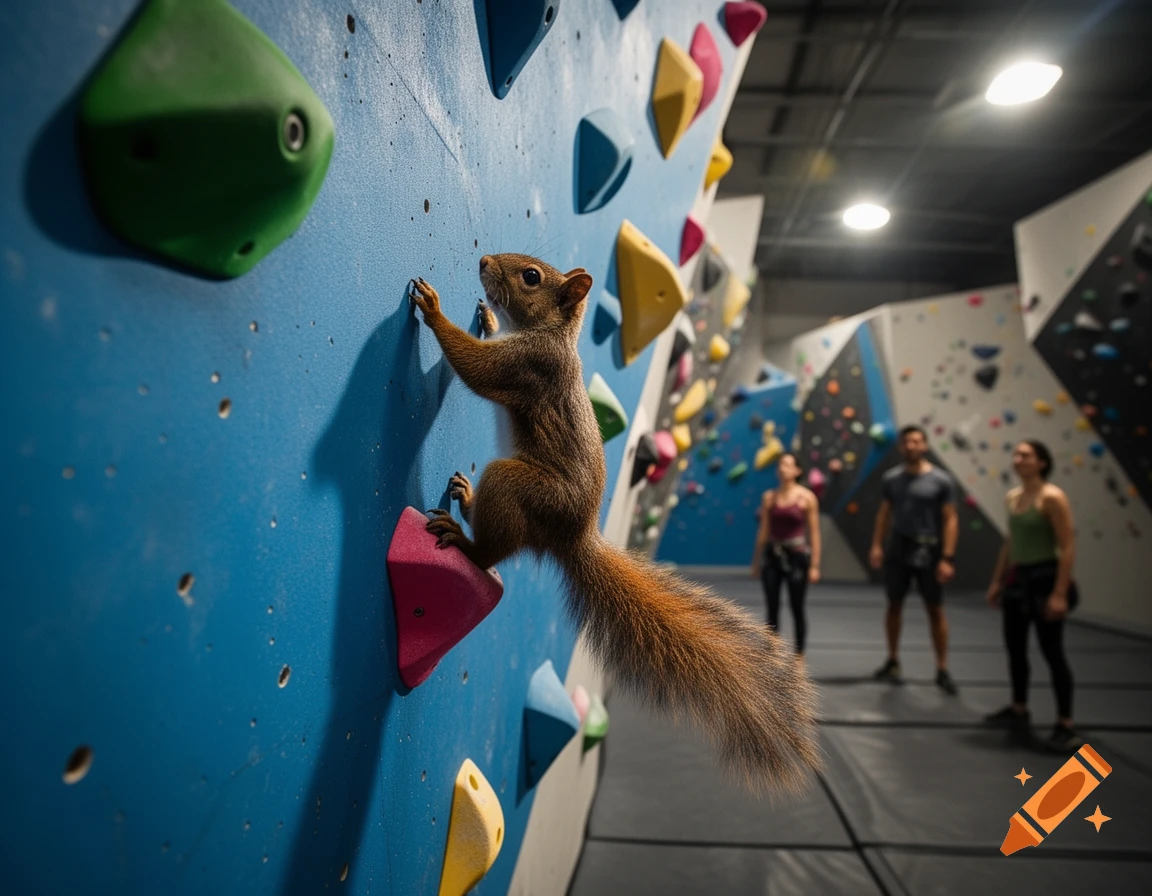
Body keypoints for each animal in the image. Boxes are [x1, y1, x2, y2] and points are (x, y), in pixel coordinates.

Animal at [408, 254, 821, 794]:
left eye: (532, 277)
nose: (483, 261)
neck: (551, 333)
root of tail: (573, 537)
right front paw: (490, 318)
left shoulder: (530, 365)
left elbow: (478, 369)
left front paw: (435, 311)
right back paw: (467, 497)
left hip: (517, 486)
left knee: (494, 552)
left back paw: (466, 540)